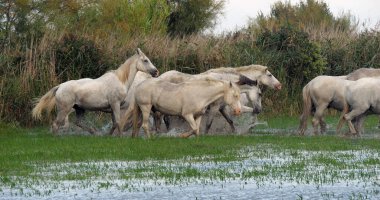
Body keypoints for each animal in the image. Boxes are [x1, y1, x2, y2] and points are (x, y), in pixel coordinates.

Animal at [31, 48, 159, 135]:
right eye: (145, 60)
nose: (156, 72)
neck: (120, 80)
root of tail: (60, 86)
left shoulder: (113, 108)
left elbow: (115, 123)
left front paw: (108, 135)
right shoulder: (116, 104)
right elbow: (119, 122)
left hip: (79, 109)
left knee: (78, 123)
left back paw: (93, 131)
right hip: (65, 109)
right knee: (56, 124)